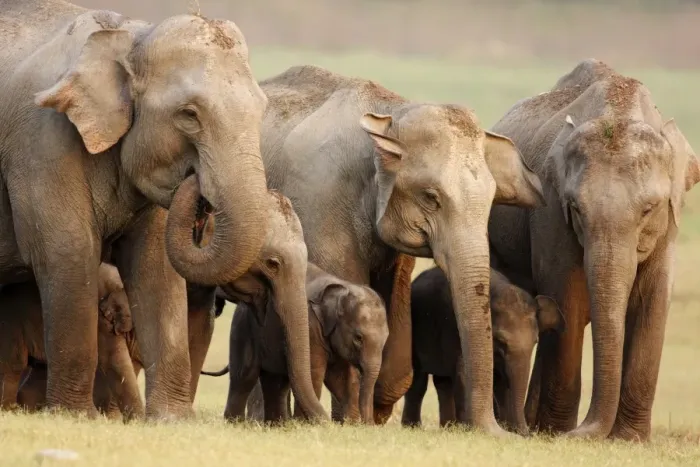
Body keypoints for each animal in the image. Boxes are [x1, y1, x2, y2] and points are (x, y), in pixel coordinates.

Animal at [0, 0, 277, 419]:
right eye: (189, 114)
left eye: (262, 111)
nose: (196, 181)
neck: (130, 36)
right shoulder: (42, 142)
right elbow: (67, 253)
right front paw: (75, 416)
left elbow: (156, 267)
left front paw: (173, 420)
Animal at [203, 262, 389, 424]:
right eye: (358, 338)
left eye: (386, 338)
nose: (369, 424)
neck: (343, 288)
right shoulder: (310, 328)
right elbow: (314, 374)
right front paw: (307, 425)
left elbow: (343, 379)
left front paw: (351, 424)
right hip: (243, 330)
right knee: (244, 378)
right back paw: (236, 424)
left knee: (276, 383)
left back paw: (278, 426)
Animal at [258, 65, 545, 433]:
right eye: (431, 197)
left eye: (492, 200)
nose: (495, 432)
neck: (392, 114)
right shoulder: (319, 201)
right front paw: (353, 420)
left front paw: (375, 412)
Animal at [400, 267, 563, 433]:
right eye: (500, 340)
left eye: (535, 341)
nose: (527, 434)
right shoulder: (456, 331)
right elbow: (464, 373)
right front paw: (468, 428)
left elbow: (500, 380)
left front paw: (504, 428)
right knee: (418, 381)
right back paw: (413, 427)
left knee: (443, 382)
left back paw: (448, 427)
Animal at [487, 59, 700, 441]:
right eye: (575, 208)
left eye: (649, 209)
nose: (581, 432)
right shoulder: (550, 210)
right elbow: (566, 297)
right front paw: (557, 432)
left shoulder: (670, 224)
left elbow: (654, 297)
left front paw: (629, 440)